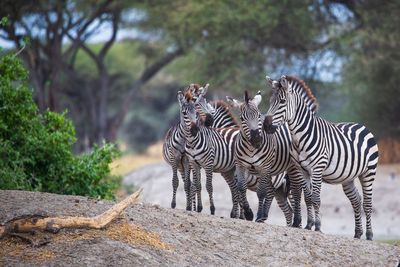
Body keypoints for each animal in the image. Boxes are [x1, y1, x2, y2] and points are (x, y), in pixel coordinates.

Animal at [227, 90, 302, 226]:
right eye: (242, 118)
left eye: (258, 116)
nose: (257, 139)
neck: (251, 149)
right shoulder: (240, 165)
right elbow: (241, 187)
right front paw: (248, 213)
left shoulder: (264, 167)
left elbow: (261, 192)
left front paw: (257, 215)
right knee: (286, 207)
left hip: (293, 169)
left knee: (296, 192)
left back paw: (298, 223)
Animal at [266, 75, 378, 241]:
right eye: (269, 102)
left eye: (282, 102)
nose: (266, 126)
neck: (300, 136)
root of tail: (361, 126)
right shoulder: (302, 170)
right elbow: (308, 197)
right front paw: (308, 225)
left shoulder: (317, 169)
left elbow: (316, 199)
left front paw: (318, 227)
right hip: (348, 177)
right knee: (356, 201)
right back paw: (358, 233)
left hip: (368, 172)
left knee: (368, 204)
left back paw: (369, 235)